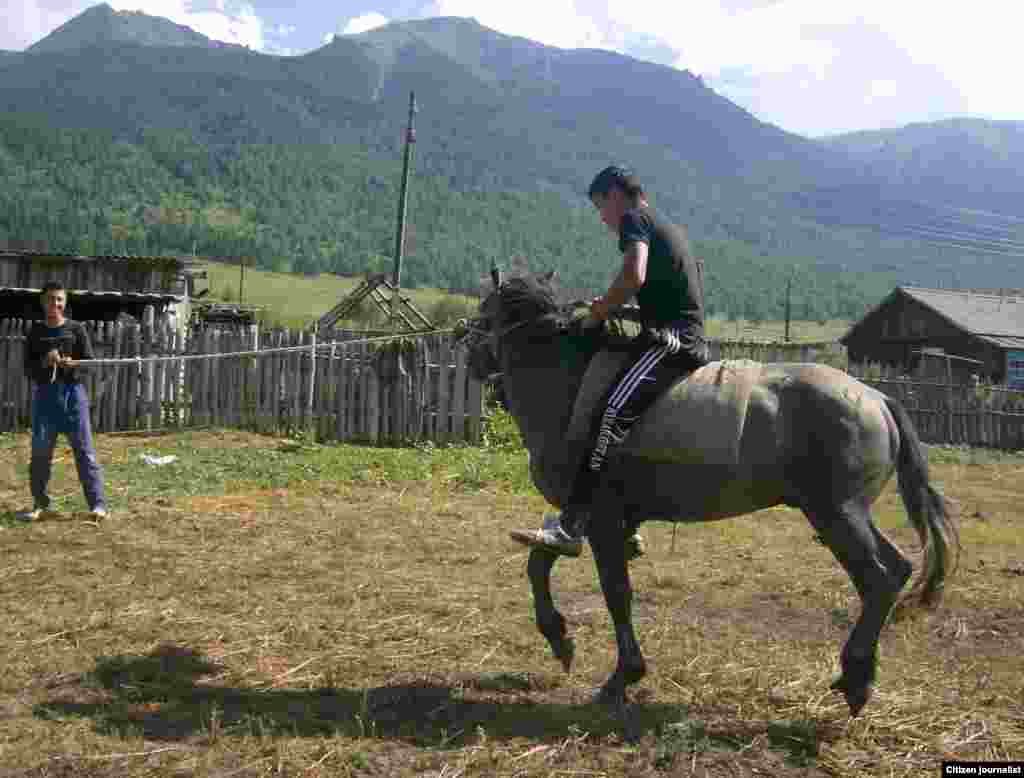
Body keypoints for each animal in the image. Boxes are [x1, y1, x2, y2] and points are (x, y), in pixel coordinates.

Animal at [458, 268, 958, 716]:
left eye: (485, 309)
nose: (469, 352)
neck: (571, 387)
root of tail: (878, 398)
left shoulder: (600, 519)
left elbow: (615, 592)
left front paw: (622, 675)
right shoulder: (586, 519)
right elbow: (539, 562)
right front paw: (559, 637)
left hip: (836, 514)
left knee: (879, 578)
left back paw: (856, 674)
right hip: (848, 514)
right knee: (894, 570)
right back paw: (861, 674)